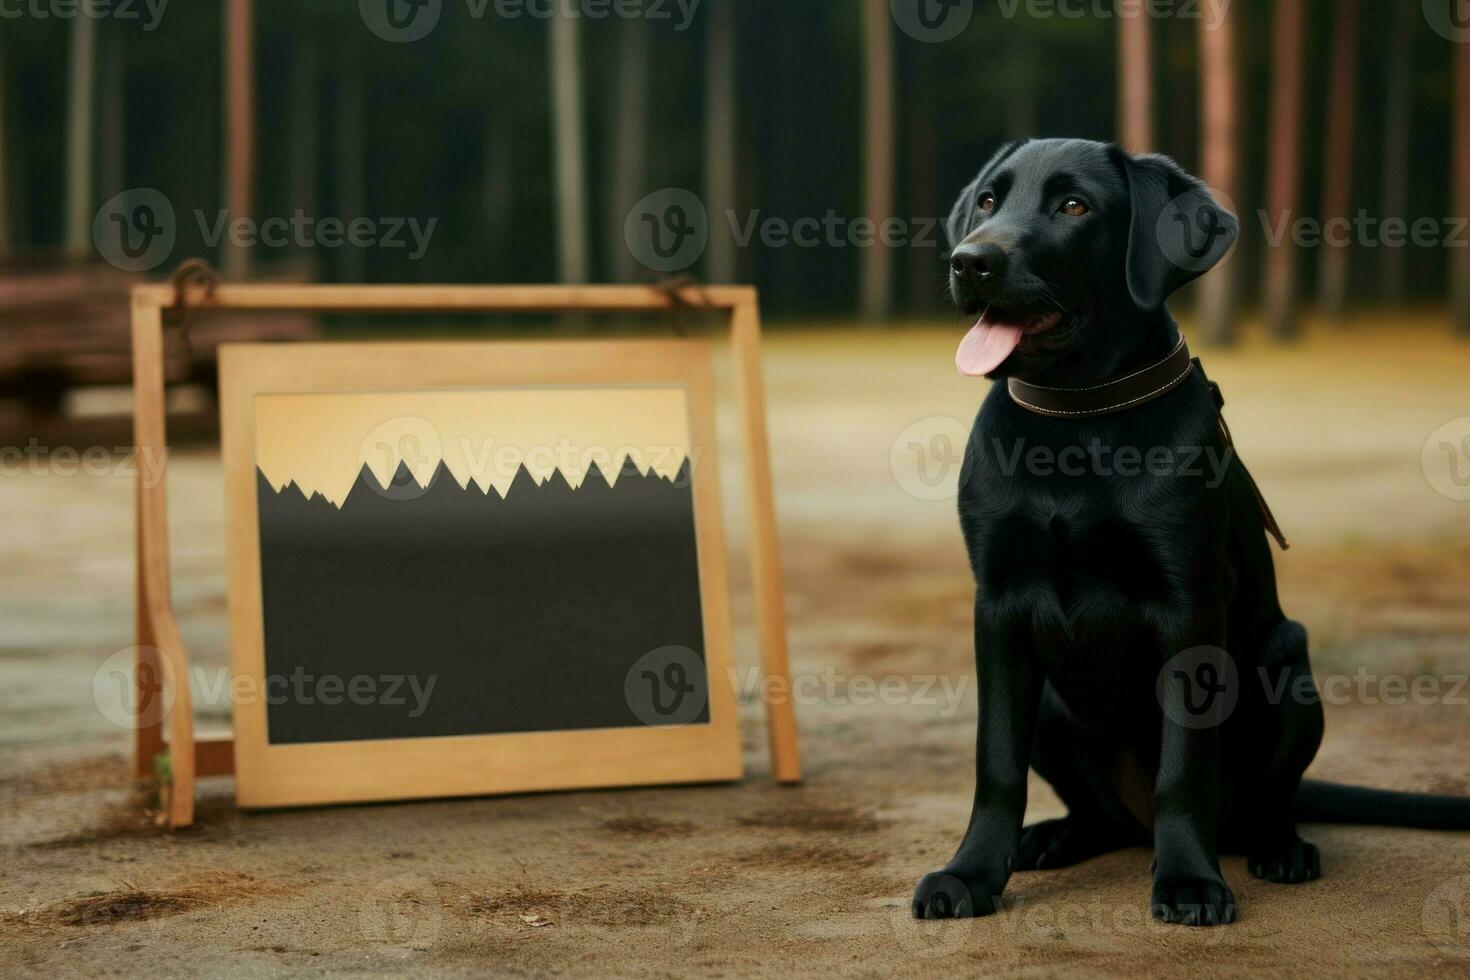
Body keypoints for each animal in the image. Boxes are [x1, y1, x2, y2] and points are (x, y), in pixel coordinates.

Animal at [911, 138, 1470, 928]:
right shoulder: (997, 605)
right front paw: (971, 873)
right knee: (1100, 815)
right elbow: (996, 765)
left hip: (1289, 670)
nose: (970, 261)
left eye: (1074, 206)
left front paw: (1188, 881)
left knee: (1269, 799)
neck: (1075, 421)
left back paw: (1280, 848)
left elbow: (1183, 769)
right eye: (989, 200)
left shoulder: (1188, 607)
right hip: (1053, 703)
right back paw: (1053, 838)